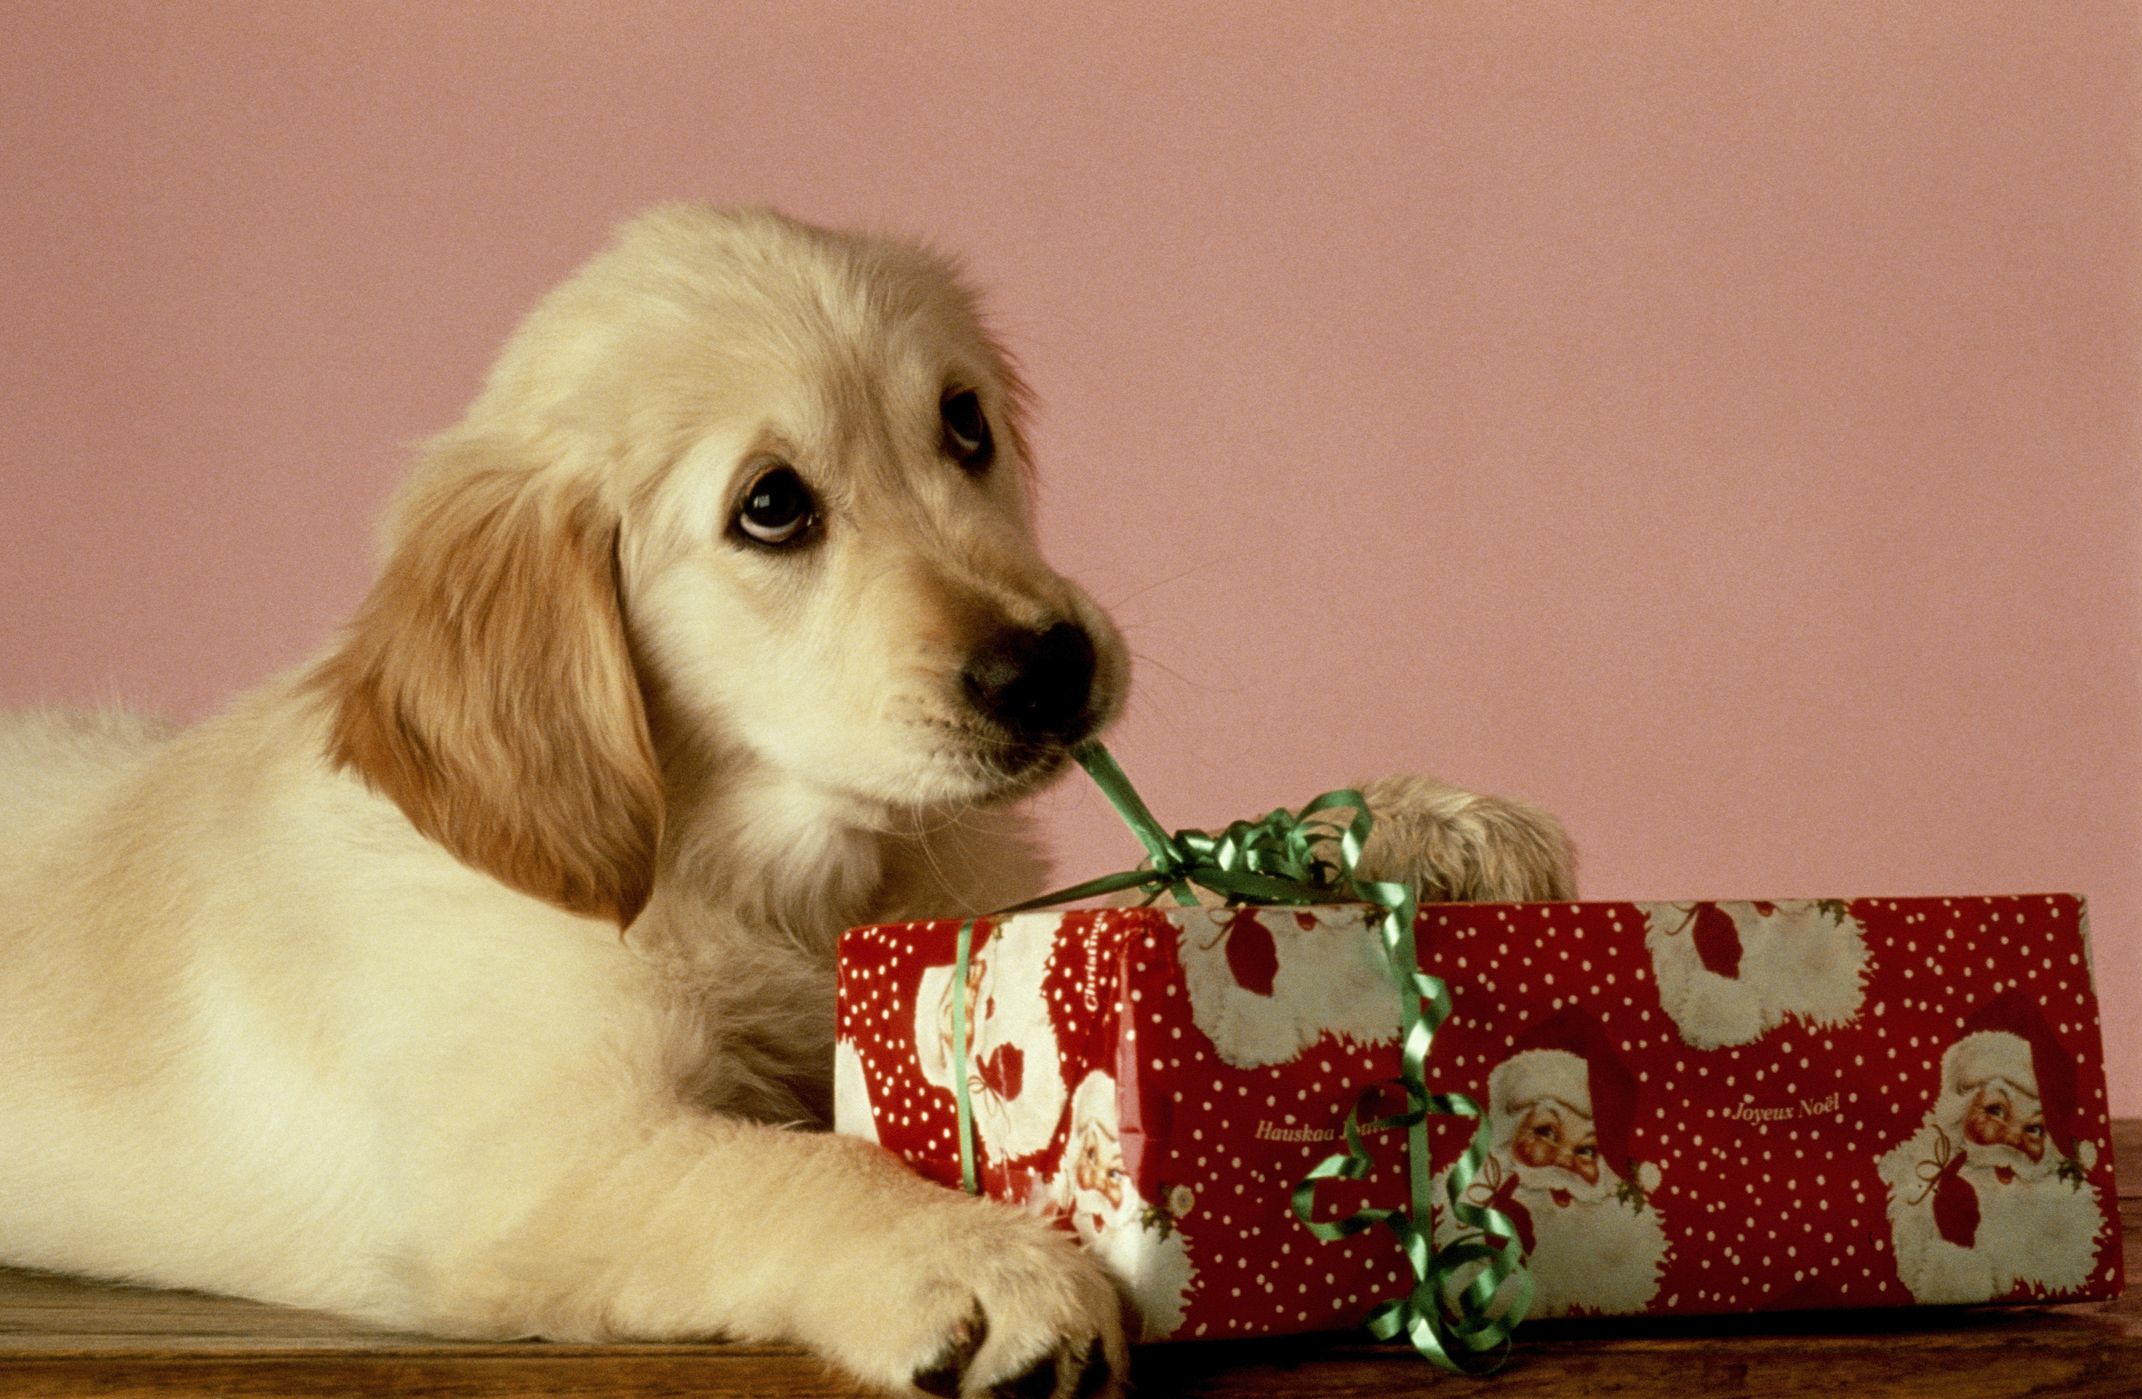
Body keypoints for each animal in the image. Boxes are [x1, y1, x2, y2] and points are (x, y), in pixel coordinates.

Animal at [0, 201, 1576, 1388]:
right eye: (772, 506)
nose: (1050, 668)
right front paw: (977, 1260)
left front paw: (1416, 825)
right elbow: (776, 1168)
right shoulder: (534, 1160)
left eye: (964, 425)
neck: (756, 865)